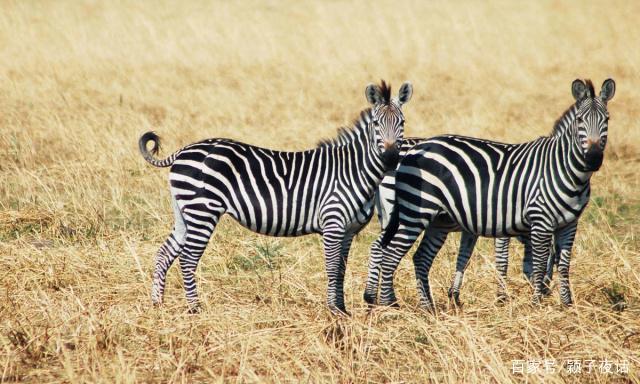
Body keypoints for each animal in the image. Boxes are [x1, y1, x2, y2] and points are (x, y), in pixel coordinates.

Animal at [139, 81, 416, 316]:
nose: (391, 159)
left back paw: (157, 304)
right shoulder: (333, 224)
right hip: (202, 211)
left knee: (164, 253)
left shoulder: (349, 231)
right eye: (377, 124)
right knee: (187, 259)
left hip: (184, 211)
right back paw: (195, 309)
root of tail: (183, 151)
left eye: (402, 122)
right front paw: (334, 311)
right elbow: (331, 268)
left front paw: (343, 310)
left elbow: (341, 269)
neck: (353, 170)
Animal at [364, 79, 616, 312]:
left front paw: (566, 305)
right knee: (388, 253)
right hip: (413, 213)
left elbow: (561, 264)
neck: (563, 169)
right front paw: (528, 302)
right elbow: (530, 261)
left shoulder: (568, 224)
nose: (593, 159)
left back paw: (426, 308)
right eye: (580, 120)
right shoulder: (531, 220)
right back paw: (388, 305)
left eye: (607, 120)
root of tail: (413, 149)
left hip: (437, 221)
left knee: (417, 257)